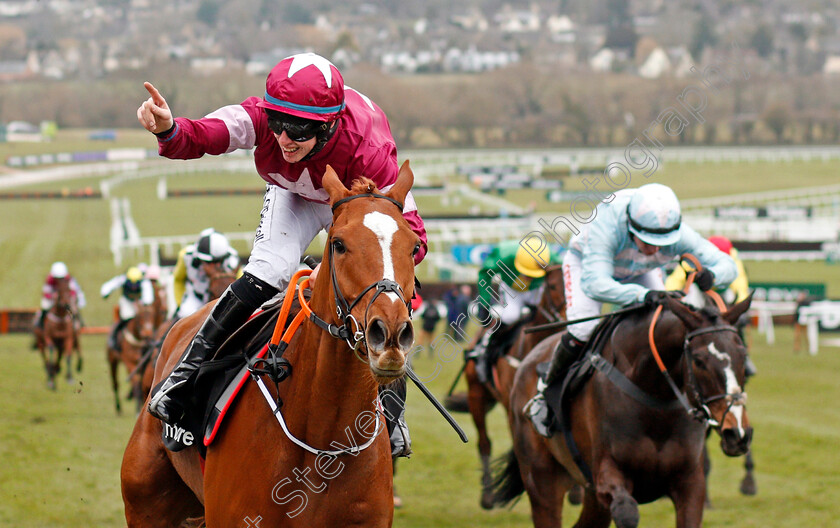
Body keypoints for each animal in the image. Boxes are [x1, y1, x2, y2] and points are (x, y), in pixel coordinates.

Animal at [492, 292, 756, 528]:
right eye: (699, 360)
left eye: (742, 354)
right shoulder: (608, 477)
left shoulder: (690, 482)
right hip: (542, 480)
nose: (737, 433)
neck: (656, 401)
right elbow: (627, 515)